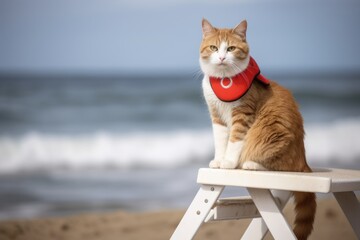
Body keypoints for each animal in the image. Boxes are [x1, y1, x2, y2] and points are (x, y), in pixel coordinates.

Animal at [200, 18, 316, 240]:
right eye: (213, 48)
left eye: (230, 48)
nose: (221, 57)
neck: (223, 77)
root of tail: (304, 159)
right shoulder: (217, 117)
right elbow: (220, 141)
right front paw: (218, 160)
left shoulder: (242, 116)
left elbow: (234, 141)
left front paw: (228, 162)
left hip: (270, 133)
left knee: (282, 166)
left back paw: (250, 164)